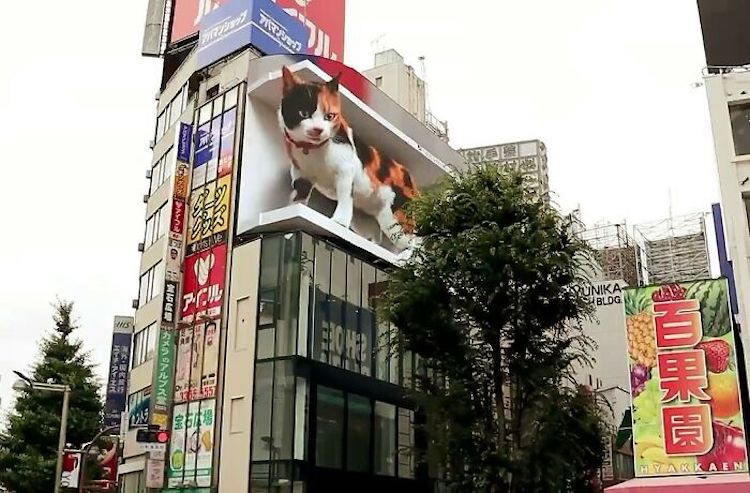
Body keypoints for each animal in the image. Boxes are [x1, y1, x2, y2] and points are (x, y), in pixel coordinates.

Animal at [278, 66, 418, 250]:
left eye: (329, 116)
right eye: (303, 113)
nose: (317, 129)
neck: (314, 152)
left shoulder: (345, 170)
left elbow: (344, 197)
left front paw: (338, 222)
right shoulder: (301, 176)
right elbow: (298, 199)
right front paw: (291, 222)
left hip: (397, 216)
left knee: (415, 243)